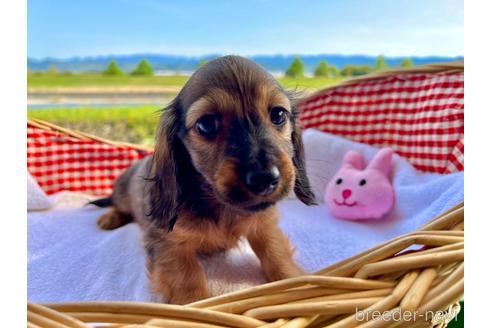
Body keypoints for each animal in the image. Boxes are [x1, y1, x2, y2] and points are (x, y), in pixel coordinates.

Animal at [92, 55, 316, 304]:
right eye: (206, 124)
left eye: (278, 114)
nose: (265, 178)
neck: (220, 204)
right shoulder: (168, 242)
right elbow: (187, 279)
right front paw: (193, 304)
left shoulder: (264, 225)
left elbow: (275, 253)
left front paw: (296, 282)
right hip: (122, 193)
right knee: (118, 205)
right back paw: (110, 218)